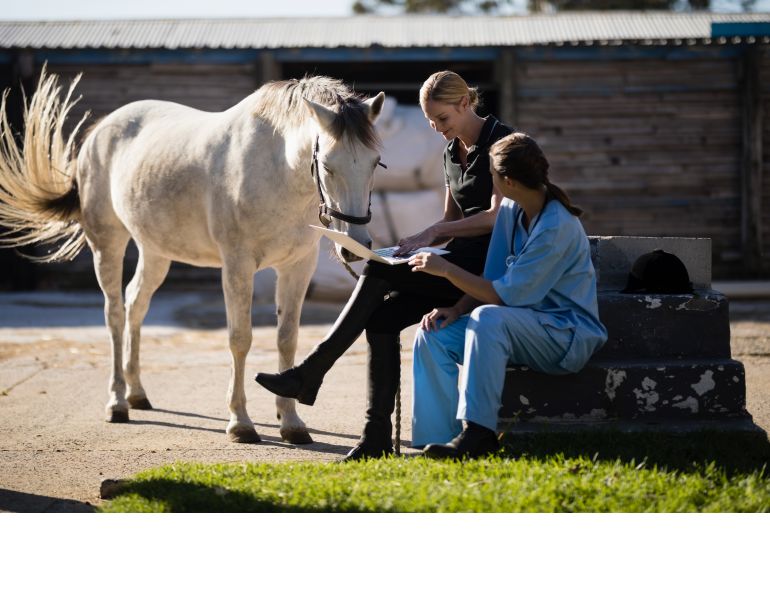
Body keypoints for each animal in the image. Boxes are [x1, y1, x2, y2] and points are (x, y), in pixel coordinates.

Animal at [0, 68, 384, 444]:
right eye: (328, 165)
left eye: (375, 162)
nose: (355, 245)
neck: (275, 167)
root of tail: (101, 130)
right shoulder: (237, 266)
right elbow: (240, 339)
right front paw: (240, 423)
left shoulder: (297, 267)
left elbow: (286, 340)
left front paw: (290, 422)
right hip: (107, 244)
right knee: (114, 315)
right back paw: (117, 402)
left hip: (155, 252)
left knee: (135, 304)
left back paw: (137, 394)